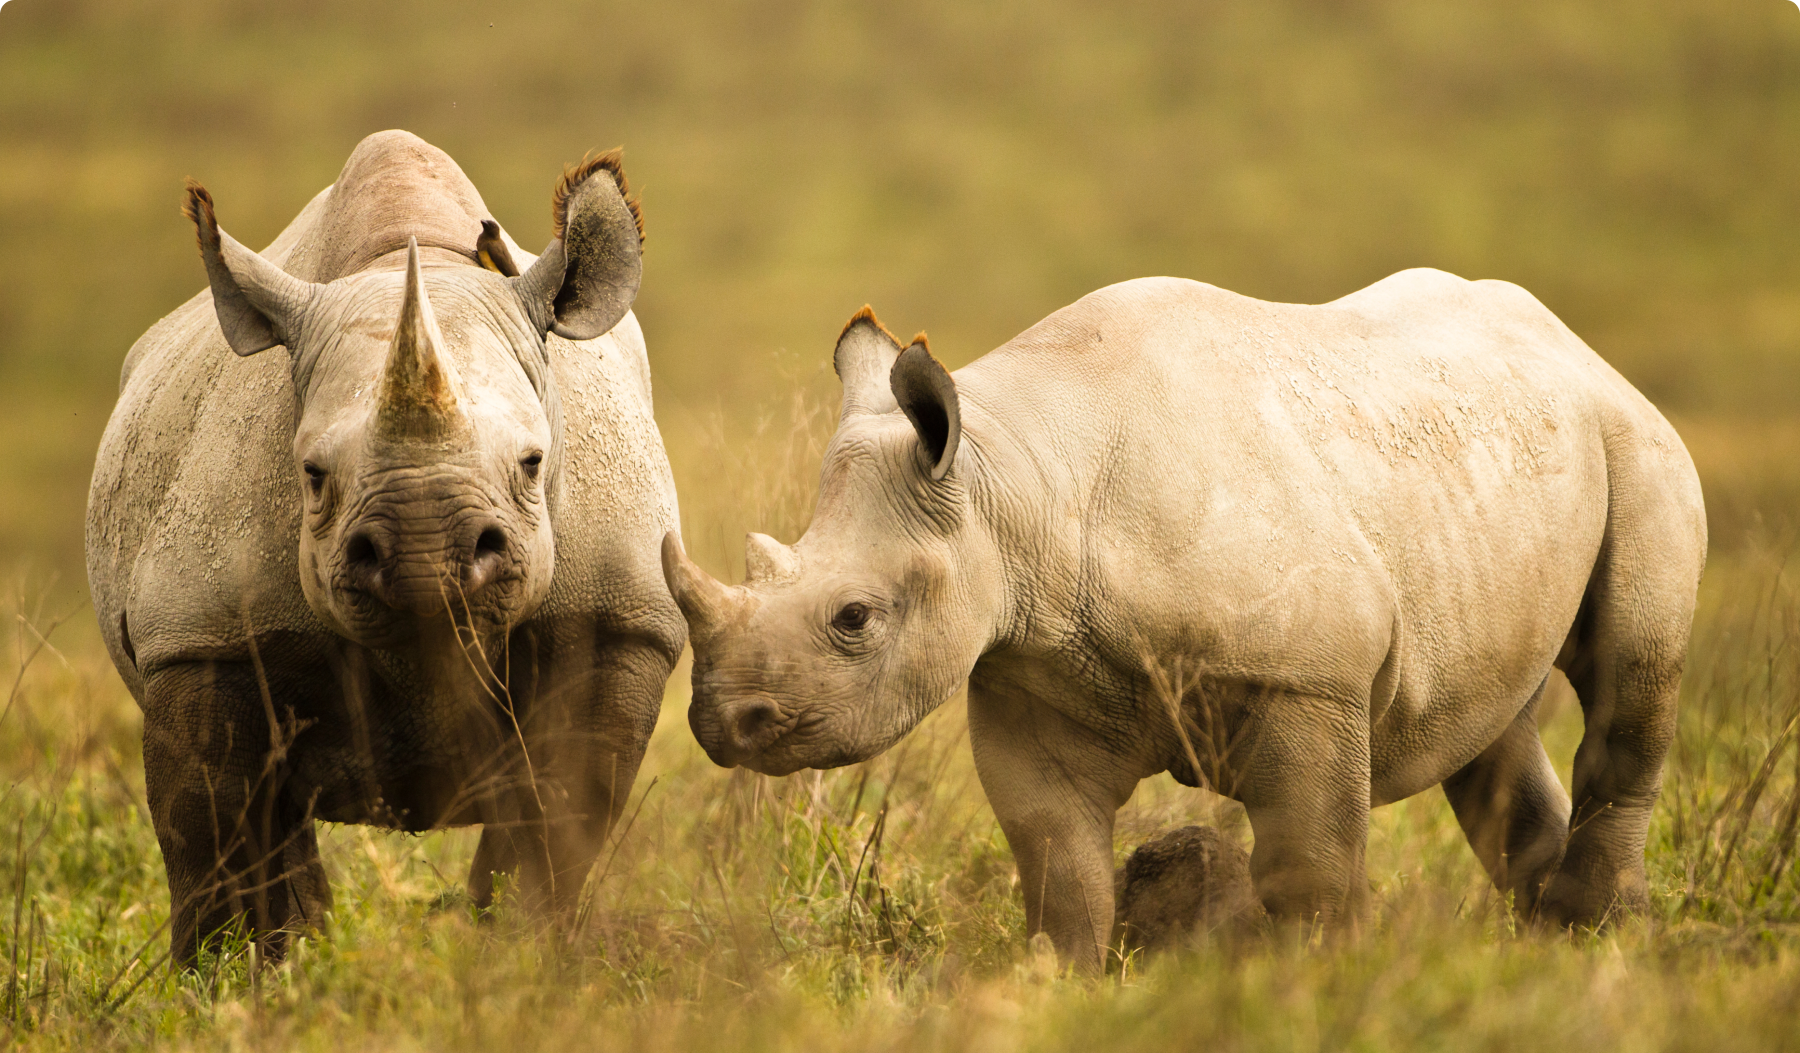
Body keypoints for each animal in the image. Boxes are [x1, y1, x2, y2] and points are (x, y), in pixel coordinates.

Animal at [86, 131, 685, 963]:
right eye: (312, 474)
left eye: (533, 463)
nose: (427, 554)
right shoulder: (203, 637)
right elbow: (215, 843)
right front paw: (227, 979)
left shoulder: (615, 620)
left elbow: (550, 832)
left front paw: (521, 963)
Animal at [663, 273, 1707, 970]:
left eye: (854, 618)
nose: (723, 725)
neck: (1013, 481)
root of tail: (1576, 345)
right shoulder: (1029, 671)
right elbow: (1058, 861)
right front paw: (1062, 983)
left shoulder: (1309, 677)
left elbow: (1309, 865)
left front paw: (1320, 980)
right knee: (1488, 723)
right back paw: (1556, 942)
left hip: (1639, 441)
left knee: (1630, 680)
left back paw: (1601, 934)